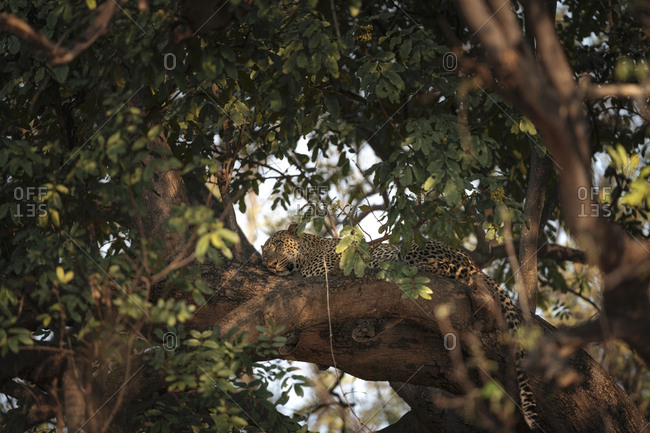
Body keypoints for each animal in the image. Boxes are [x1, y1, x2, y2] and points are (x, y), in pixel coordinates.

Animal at [262, 223, 539, 429]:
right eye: (264, 253)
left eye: (277, 245)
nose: (268, 264)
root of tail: (474, 264)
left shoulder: (328, 279)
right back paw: (366, 329)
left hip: (415, 249)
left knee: (432, 271)